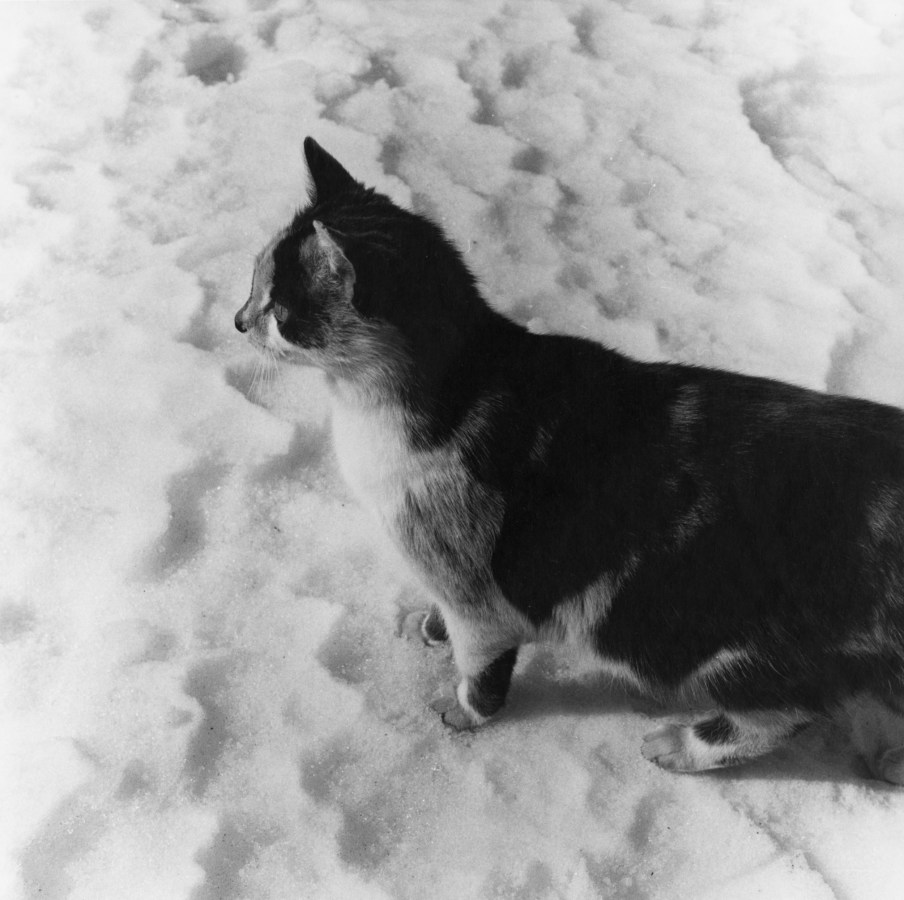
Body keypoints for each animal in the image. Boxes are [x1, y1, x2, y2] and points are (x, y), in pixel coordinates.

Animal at [237, 137, 904, 784]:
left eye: (279, 310)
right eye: (252, 285)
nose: (239, 320)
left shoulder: (477, 591)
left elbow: (480, 666)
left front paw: (464, 711)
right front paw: (428, 625)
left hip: (714, 640)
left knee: (788, 712)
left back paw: (681, 746)